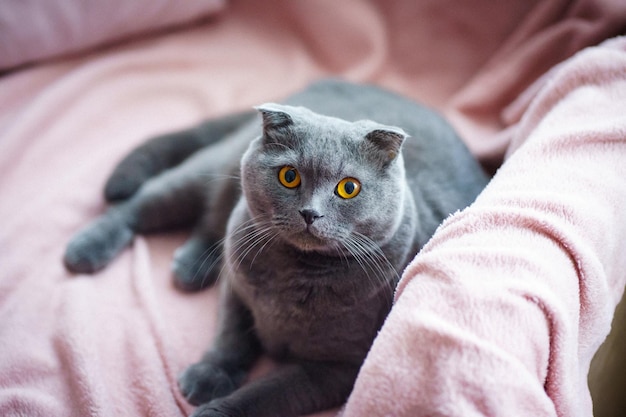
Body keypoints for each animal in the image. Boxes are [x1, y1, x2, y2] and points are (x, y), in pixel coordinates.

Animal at [63, 79, 488, 416]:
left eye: (349, 188)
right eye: (289, 176)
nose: (310, 213)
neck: (292, 277)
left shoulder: (340, 368)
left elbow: (270, 393)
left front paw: (215, 409)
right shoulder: (237, 290)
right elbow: (230, 337)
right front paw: (208, 375)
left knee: (208, 221)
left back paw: (190, 267)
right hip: (207, 171)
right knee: (143, 205)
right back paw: (85, 250)